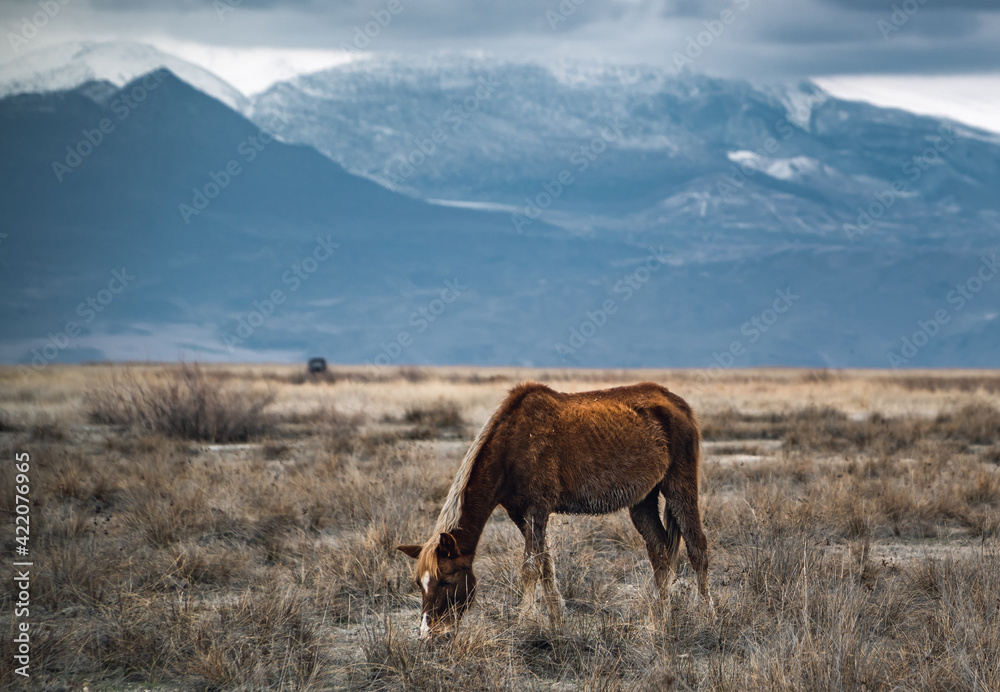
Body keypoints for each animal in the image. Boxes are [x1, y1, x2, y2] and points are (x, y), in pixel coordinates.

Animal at [397, 381, 712, 639]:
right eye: (419, 584)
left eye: (447, 581)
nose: (429, 634)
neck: (512, 445)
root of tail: (679, 404)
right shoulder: (521, 515)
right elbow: (546, 566)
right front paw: (556, 621)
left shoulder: (537, 510)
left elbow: (530, 568)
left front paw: (523, 624)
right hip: (643, 500)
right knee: (660, 552)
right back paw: (660, 619)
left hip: (679, 487)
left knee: (697, 548)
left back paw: (705, 616)